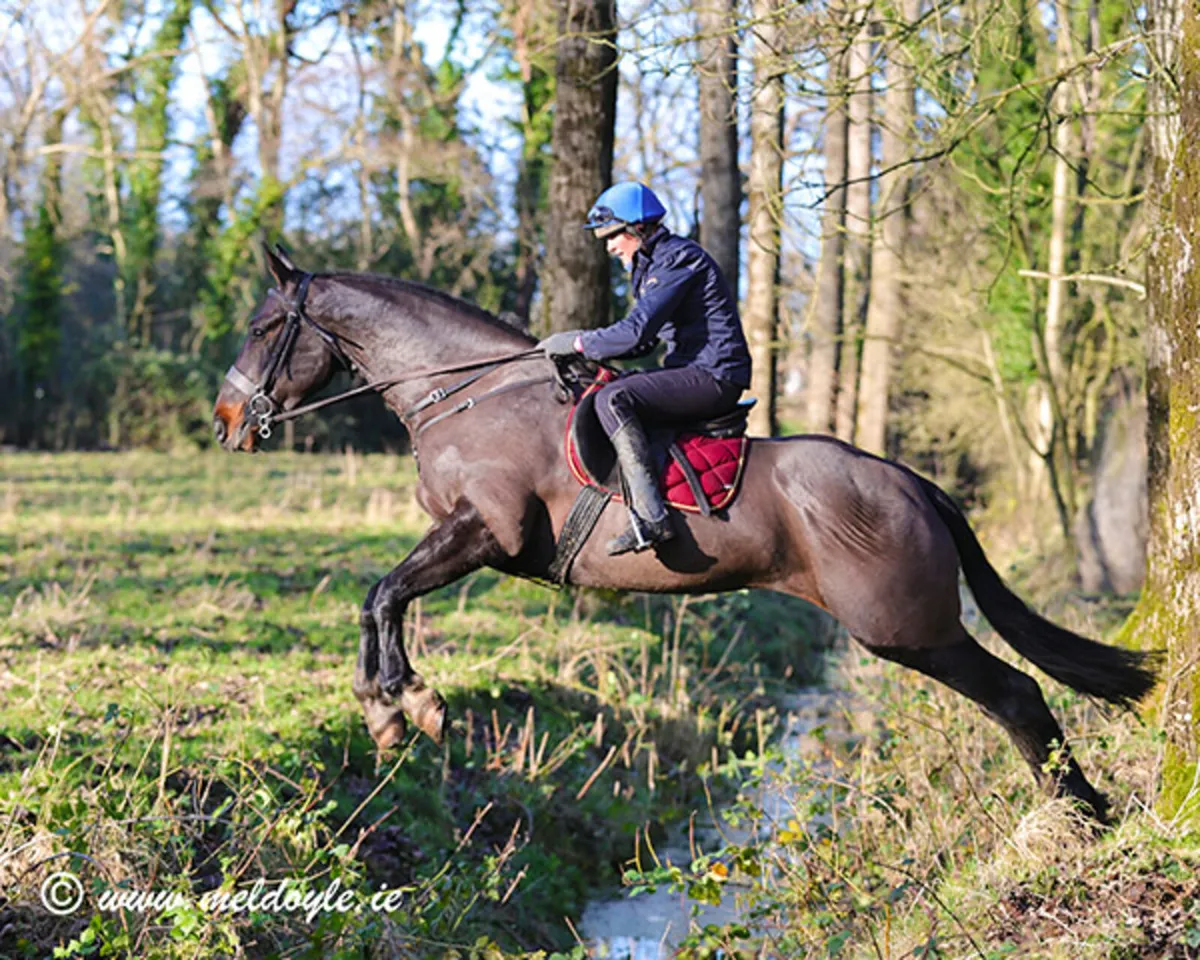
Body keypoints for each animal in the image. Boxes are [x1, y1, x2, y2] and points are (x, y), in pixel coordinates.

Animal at [211, 247, 1160, 822]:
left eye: (262, 327)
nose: (224, 419)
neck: (469, 392)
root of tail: (911, 482)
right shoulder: (465, 539)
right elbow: (380, 599)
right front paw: (389, 708)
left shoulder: (485, 531)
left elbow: (383, 594)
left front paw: (403, 704)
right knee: (1019, 697)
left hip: (905, 628)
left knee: (1018, 696)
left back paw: (1083, 819)